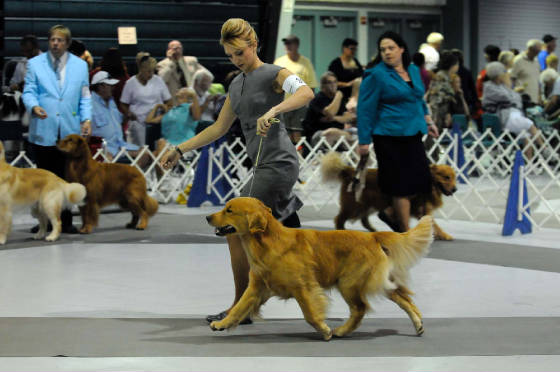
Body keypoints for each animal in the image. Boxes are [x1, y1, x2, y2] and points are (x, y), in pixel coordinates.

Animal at [206, 198, 434, 340]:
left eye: (229, 210)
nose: (207, 217)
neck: (267, 242)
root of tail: (373, 236)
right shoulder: (257, 286)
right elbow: (238, 307)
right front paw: (222, 323)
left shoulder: (303, 286)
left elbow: (309, 313)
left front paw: (325, 331)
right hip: (376, 282)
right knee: (404, 298)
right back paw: (419, 324)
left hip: (349, 283)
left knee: (360, 309)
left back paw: (341, 331)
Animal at [322, 152, 458, 241]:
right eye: (446, 177)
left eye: (454, 178)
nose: (455, 189)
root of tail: (350, 171)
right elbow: (434, 224)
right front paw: (444, 235)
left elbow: (433, 223)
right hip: (354, 206)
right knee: (339, 218)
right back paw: (341, 230)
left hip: (367, 205)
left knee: (364, 219)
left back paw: (373, 230)